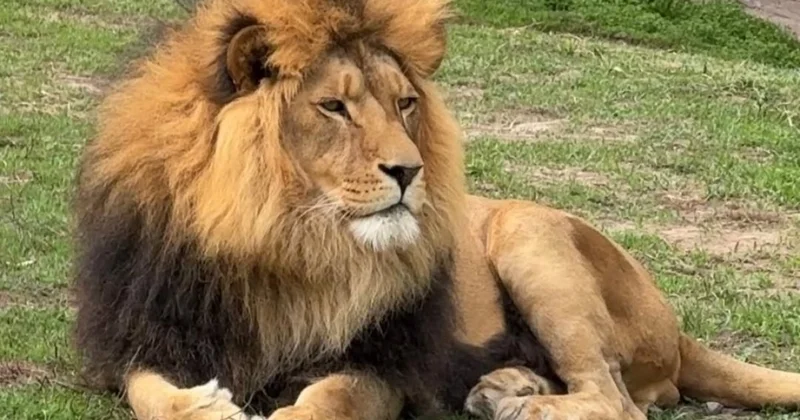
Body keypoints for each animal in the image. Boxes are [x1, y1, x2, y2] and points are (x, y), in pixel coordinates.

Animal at [72, 0, 800, 419]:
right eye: (333, 107)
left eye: (405, 104)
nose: (408, 170)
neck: (288, 238)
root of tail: (679, 332)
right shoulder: (154, 330)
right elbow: (153, 394)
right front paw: (206, 406)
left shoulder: (384, 366)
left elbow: (330, 399)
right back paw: (505, 387)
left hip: (528, 233)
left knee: (617, 402)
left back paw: (518, 407)